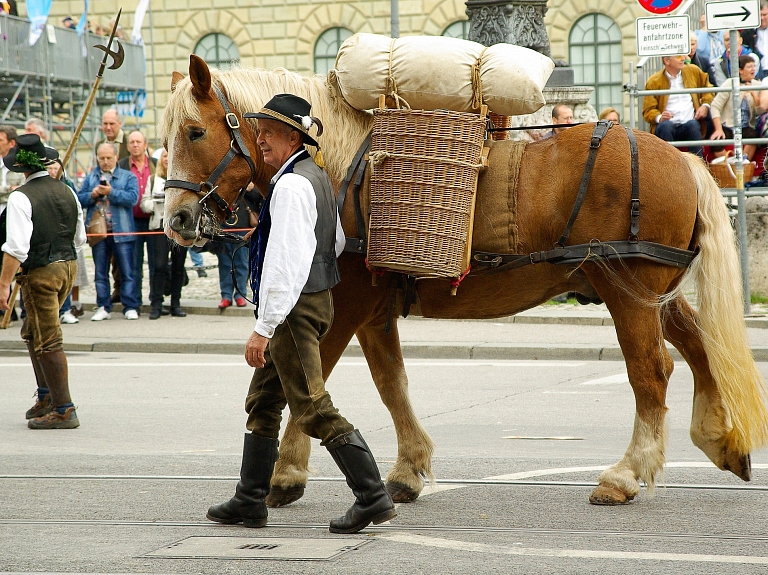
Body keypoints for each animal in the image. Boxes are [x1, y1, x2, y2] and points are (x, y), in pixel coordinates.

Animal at [159, 55, 768, 508]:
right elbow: (392, 385)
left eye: (194, 131)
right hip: (654, 295)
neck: (346, 167)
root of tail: (684, 161)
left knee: (652, 372)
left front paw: (286, 472)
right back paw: (719, 438)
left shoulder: (344, 304)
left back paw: (626, 473)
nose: (177, 220)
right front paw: (408, 468)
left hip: (628, 294)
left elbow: (307, 383)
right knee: (699, 346)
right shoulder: (375, 311)